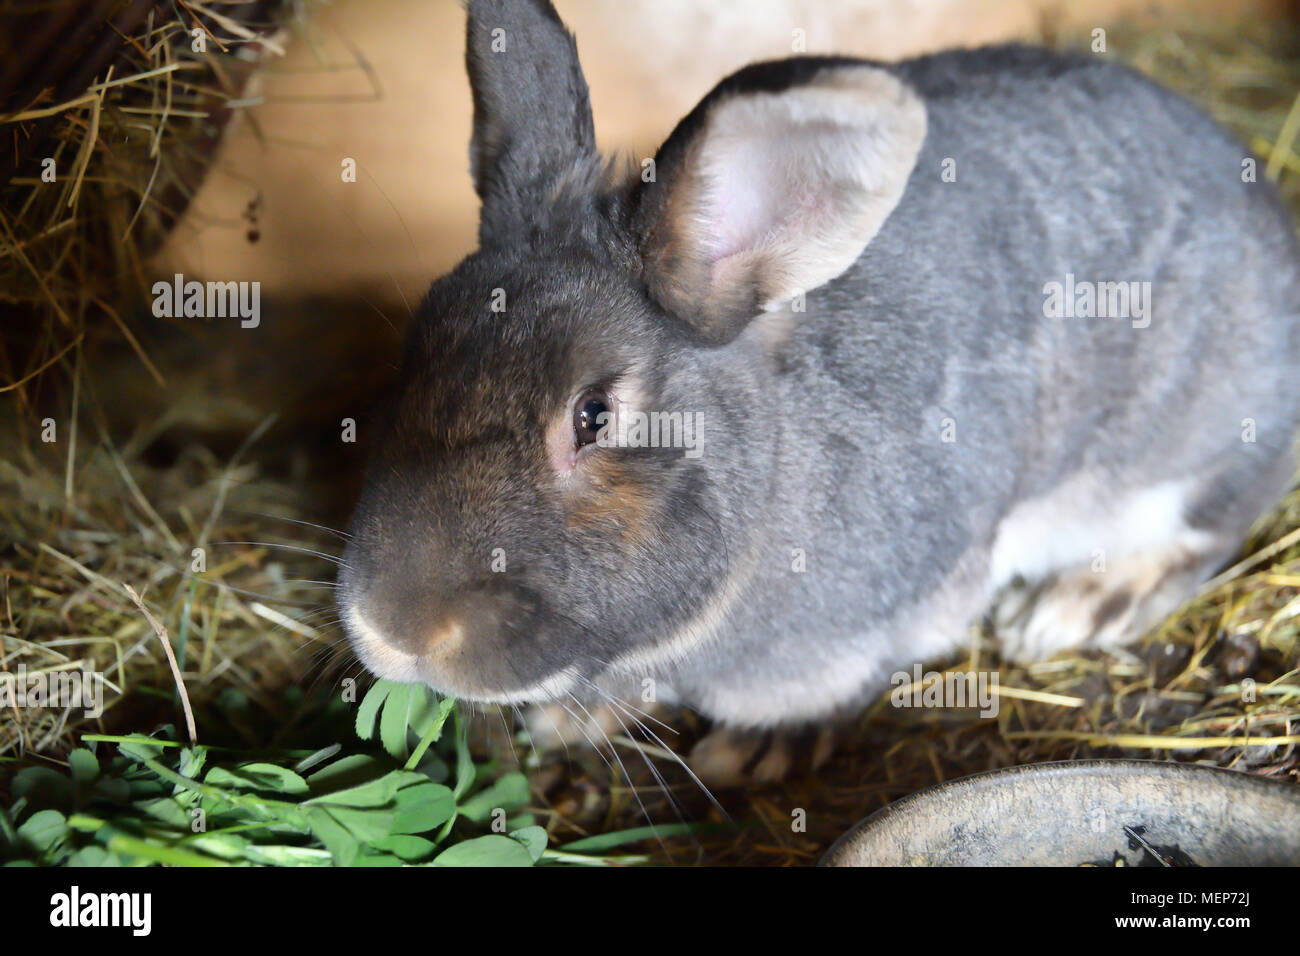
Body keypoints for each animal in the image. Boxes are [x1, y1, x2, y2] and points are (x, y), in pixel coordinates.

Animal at [337, 0, 1300, 786]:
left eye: (594, 414)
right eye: (416, 346)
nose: (393, 630)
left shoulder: (914, 591)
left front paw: (759, 749)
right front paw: (573, 717)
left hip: (1185, 453)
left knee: (1205, 529)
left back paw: (1072, 609)